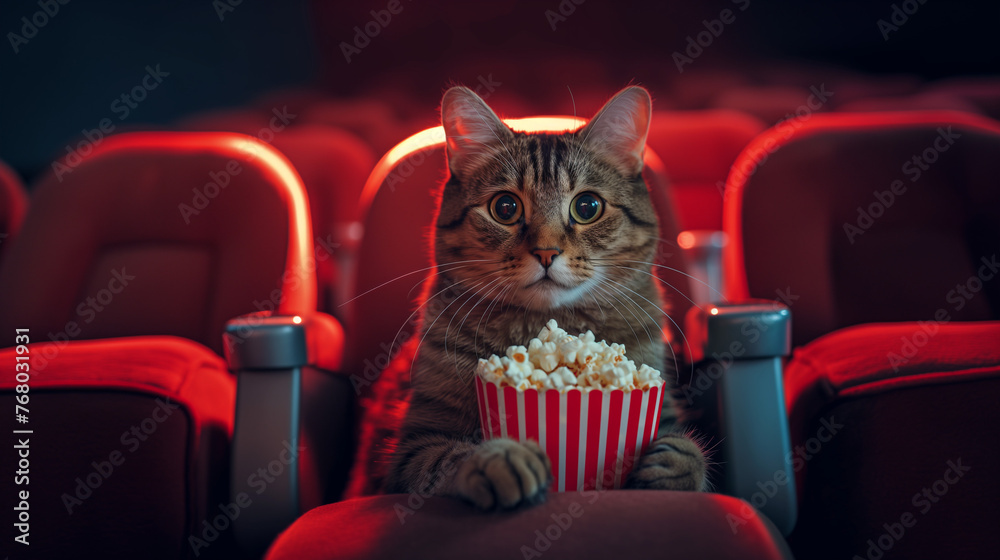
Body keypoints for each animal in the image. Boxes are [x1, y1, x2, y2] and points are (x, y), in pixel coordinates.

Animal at [376, 86, 712, 508]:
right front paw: (503, 458)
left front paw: (676, 464)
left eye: (587, 206)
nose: (547, 252)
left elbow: (687, 451)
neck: (548, 329)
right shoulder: (412, 444)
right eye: (505, 208)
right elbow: (447, 459)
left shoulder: (660, 402)